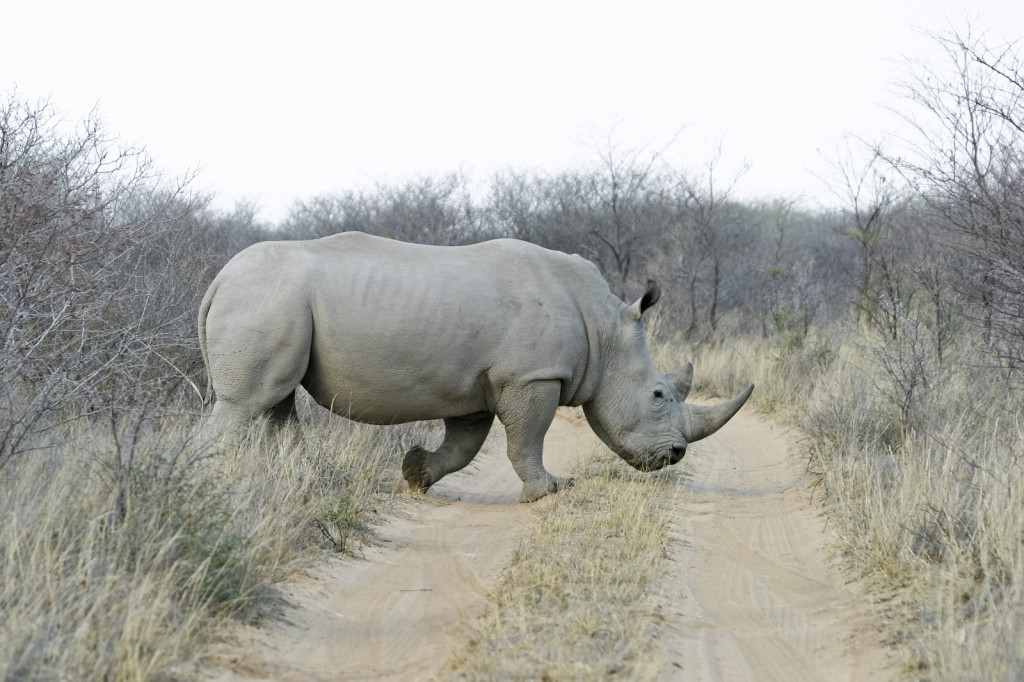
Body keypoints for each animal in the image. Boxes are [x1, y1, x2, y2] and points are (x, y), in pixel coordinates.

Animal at [199, 231, 753, 501]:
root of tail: (217, 280)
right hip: (266, 297)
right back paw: (214, 484)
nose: (676, 455)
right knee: (244, 403)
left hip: (272, 299)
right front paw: (549, 491)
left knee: (275, 402)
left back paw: (302, 480)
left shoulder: (477, 386)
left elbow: (463, 446)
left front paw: (417, 473)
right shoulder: (532, 375)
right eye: (658, 395)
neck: (604, 326)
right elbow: (528, 438)